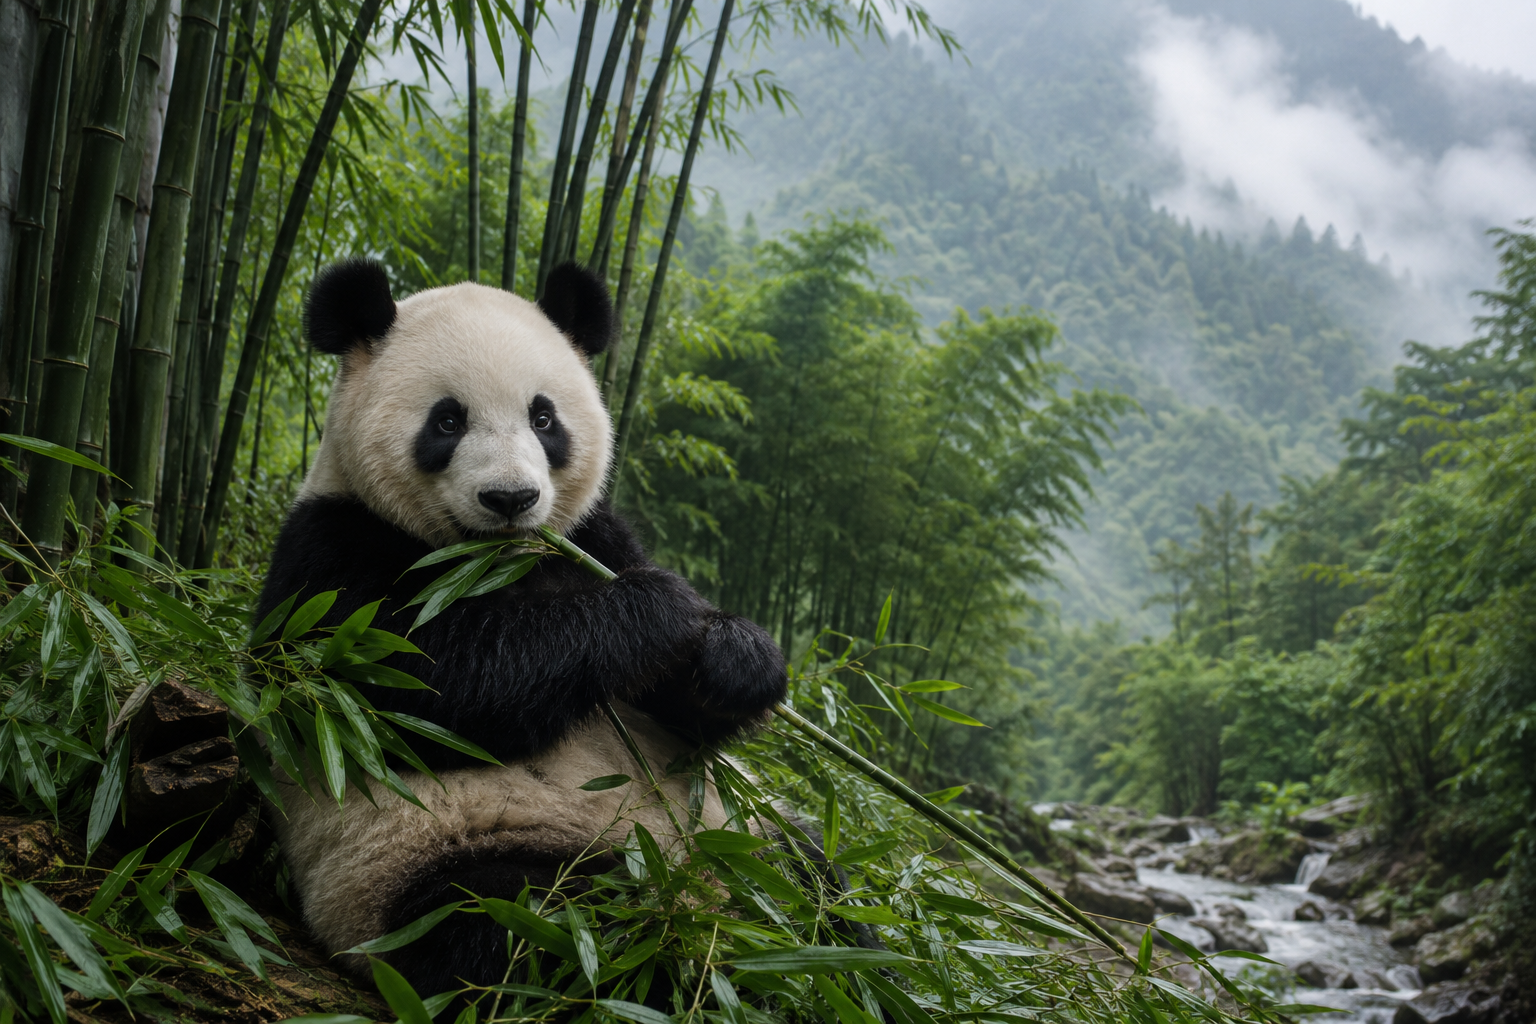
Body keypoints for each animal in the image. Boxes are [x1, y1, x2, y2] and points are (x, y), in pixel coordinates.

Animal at [254, 259, 789, 996]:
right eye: (447, 420)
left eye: (543, 417)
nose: (511, 499)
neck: (494, 563)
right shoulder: (330, 558)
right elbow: (423, 688)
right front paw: (657, 609)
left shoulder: (594, 536)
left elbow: (686, 715)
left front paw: (734, 657)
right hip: (441, 863)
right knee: (538, 921)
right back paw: (687, 959)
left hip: (751, 830)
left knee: (816, 882)